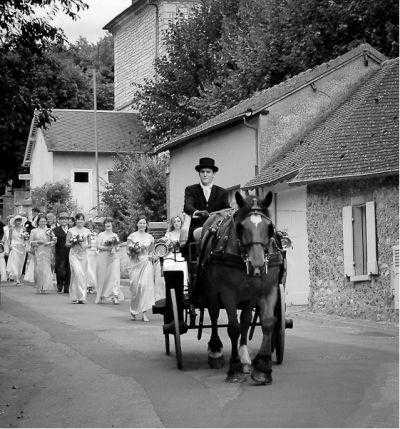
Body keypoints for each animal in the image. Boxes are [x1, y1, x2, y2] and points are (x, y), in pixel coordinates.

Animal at [197, 191, 282, 384]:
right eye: (241, 227)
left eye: (270, 227)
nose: (258, 264)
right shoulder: (228, 292)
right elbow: (233, 327)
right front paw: (234, 368)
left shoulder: (268, 288)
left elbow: (267, 323)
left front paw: (263, 368)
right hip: (212, 290)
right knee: (214, 315)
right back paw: (215, 351)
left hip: (249, 295)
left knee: (246, 318)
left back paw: (244, 356)